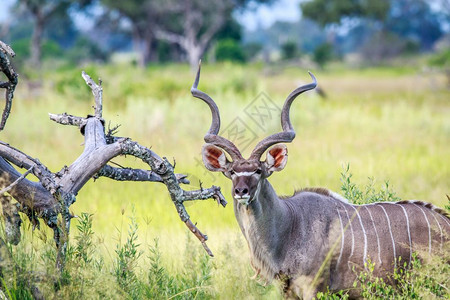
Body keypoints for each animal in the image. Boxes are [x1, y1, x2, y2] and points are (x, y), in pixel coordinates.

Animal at [191, 63, 450, 298]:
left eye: (258, 171)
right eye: (231, 172)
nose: (241, 191)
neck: (290, 225)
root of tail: (445, 222)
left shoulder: (313, 288)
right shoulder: (287, 292)